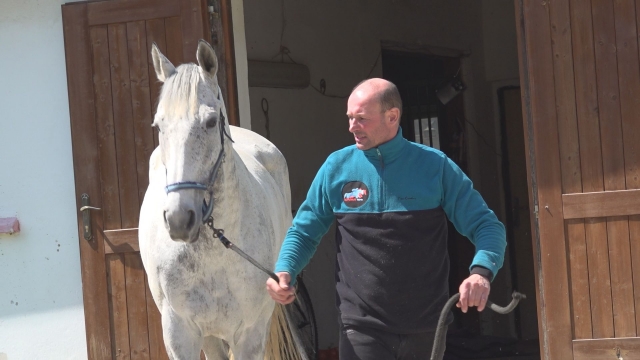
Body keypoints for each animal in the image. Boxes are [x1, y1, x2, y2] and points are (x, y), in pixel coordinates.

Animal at [138, 40, 308, 360]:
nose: (179, 220)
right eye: (158, 126)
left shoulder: (250, 335)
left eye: (210, 121)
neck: (216, 254)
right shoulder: (180, 335)